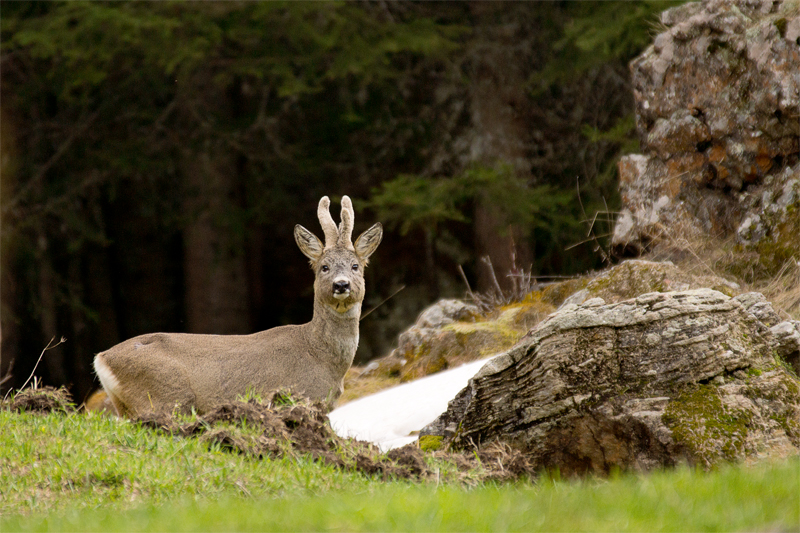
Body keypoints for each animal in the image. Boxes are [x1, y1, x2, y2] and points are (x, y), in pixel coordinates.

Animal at [94, 195, 382, 416]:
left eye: (355, 266)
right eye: (324, 267)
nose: (341, 285)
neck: (320, 356)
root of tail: (102, 357)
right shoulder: (296, 396)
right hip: (166, 395)